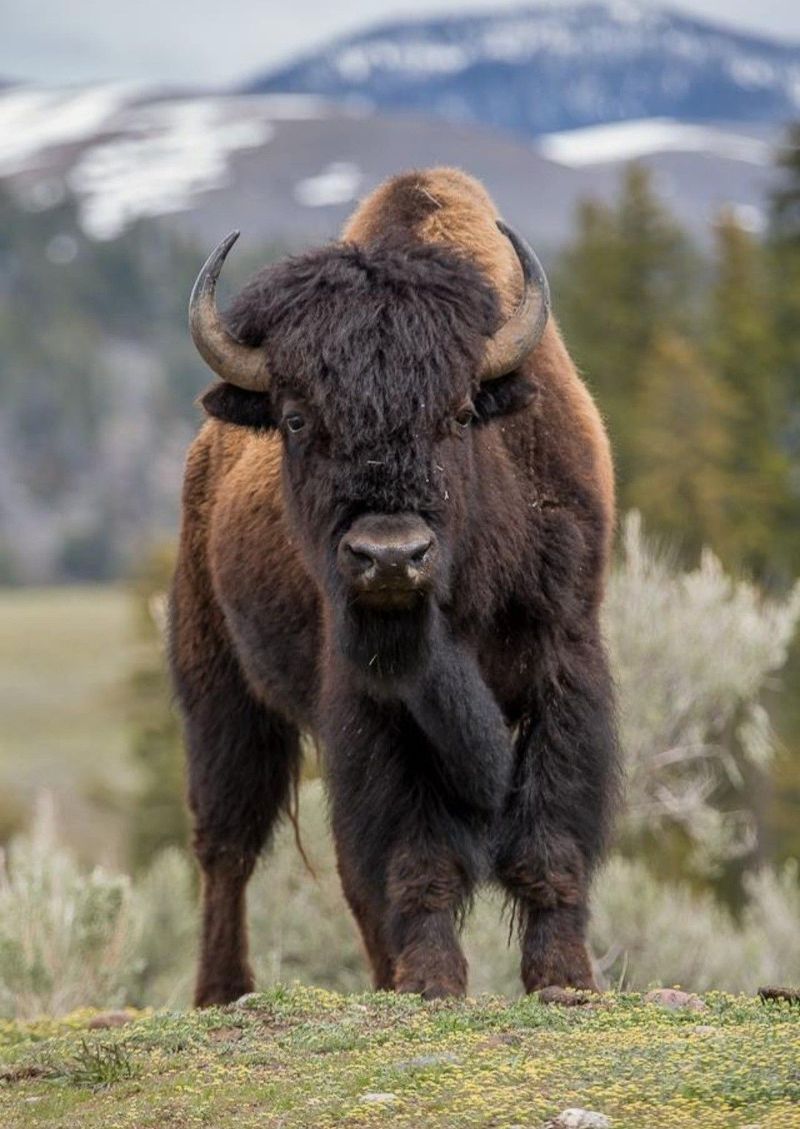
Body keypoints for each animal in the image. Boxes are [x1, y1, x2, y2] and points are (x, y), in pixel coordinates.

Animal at [170, 167, 618, 1007]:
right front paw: (434, 982)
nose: (389, 556)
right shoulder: (371, 706)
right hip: (220, 689)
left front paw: (563, 978)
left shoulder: (565, 660)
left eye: (461, 413)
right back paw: (224, 989)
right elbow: (416, 856)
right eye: (297, 419)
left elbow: (551, 837)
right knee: (228, 846)